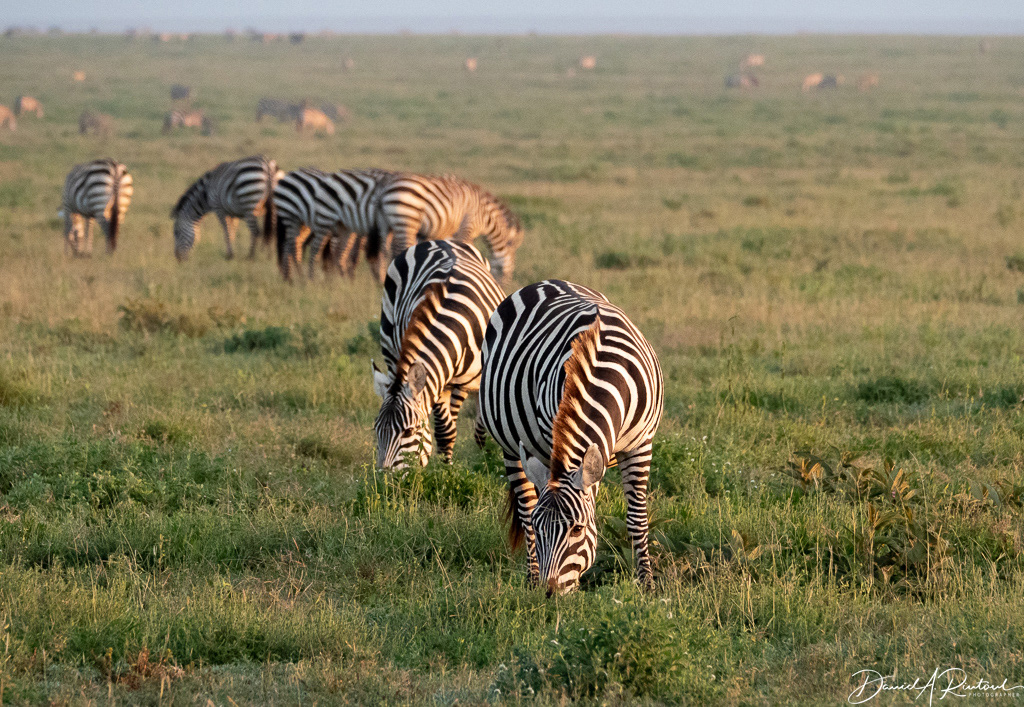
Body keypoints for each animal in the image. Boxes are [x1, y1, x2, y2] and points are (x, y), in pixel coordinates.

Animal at [372, 240, 505, 469]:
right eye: (376, 430)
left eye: (408, 431)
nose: (385, 476)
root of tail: (439, 241)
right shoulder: (436, 381)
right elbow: (445, 431)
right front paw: (445, 469)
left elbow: (479, 428)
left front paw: (485, 462)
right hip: (392, 350)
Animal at [374, 173, 524, 285]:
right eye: (508, 271)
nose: (503, 285)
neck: (485, 216)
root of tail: (384, 188)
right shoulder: (467, 225)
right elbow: (466, 247)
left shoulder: (449, 231)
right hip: (406, 220)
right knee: (400, 248)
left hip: (387, 224)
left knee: (385, 251)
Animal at [479, 280, 664, 595]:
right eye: (541, 528)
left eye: (577, 529)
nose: (548, 592)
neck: (605, 372)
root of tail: (546, 282)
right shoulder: (552, 439)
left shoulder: (641, 444)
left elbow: (637, 518)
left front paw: (647, 584)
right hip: (512, 444)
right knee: (525, 503)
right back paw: (531, 575)